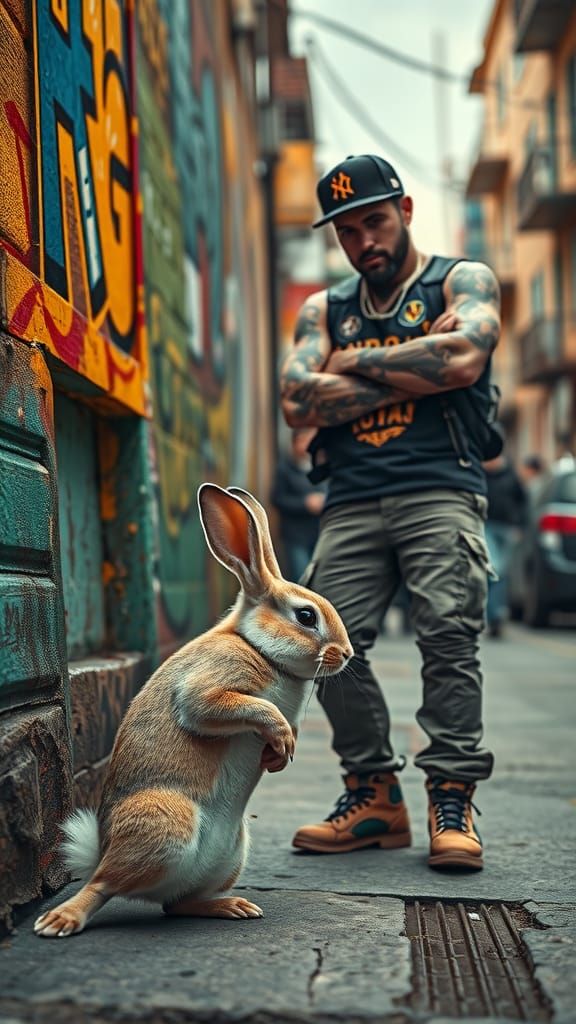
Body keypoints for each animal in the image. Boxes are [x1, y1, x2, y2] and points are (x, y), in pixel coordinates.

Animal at [35, 484, 353, 937]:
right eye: (306, 616)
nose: (346, 653)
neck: (257, 646)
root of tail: (101, 850)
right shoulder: (209, 690)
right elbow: (235, 708)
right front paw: (282, 740)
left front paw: (278, 757)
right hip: (165, 825)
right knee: (102, 886)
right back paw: (60, 921)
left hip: (231, 852)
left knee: (176, 904)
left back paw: (233, 907)